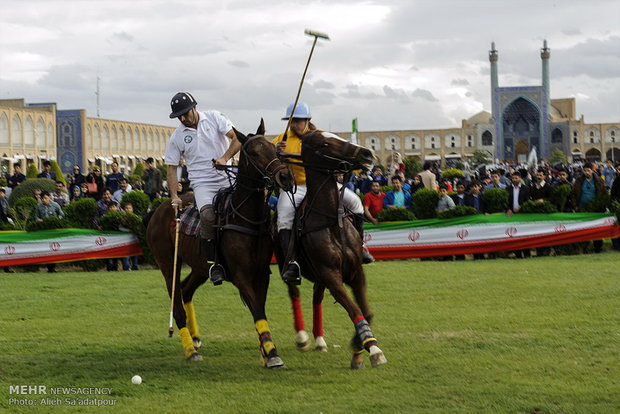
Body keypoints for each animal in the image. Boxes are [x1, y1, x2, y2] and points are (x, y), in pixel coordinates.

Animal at [147, 120, 292, 368]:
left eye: (274, 149)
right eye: (254, 153)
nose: (285, 178)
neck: (247, 218)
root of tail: (160, 208)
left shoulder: (262, 273)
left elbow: (260, 309)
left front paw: (265, 352)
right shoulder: (241, 275)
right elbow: (256, 309)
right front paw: (272, 354)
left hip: (200, 266)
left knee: (185, 290)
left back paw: (195, 339)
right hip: (167, 263)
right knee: (176, 301)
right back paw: (190, 350)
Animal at [278, 130, 386, 368]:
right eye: (325, 144)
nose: (367, 153)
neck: (330, 220)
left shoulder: (355, 272)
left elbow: (366, 312)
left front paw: (357, 350)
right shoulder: (331, 274)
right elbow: (355, 310)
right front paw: (373, 349)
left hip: (319, 277)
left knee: (316, 298)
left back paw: (320, 340)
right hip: (287, 265)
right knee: (293, 291)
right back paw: (302, 338)